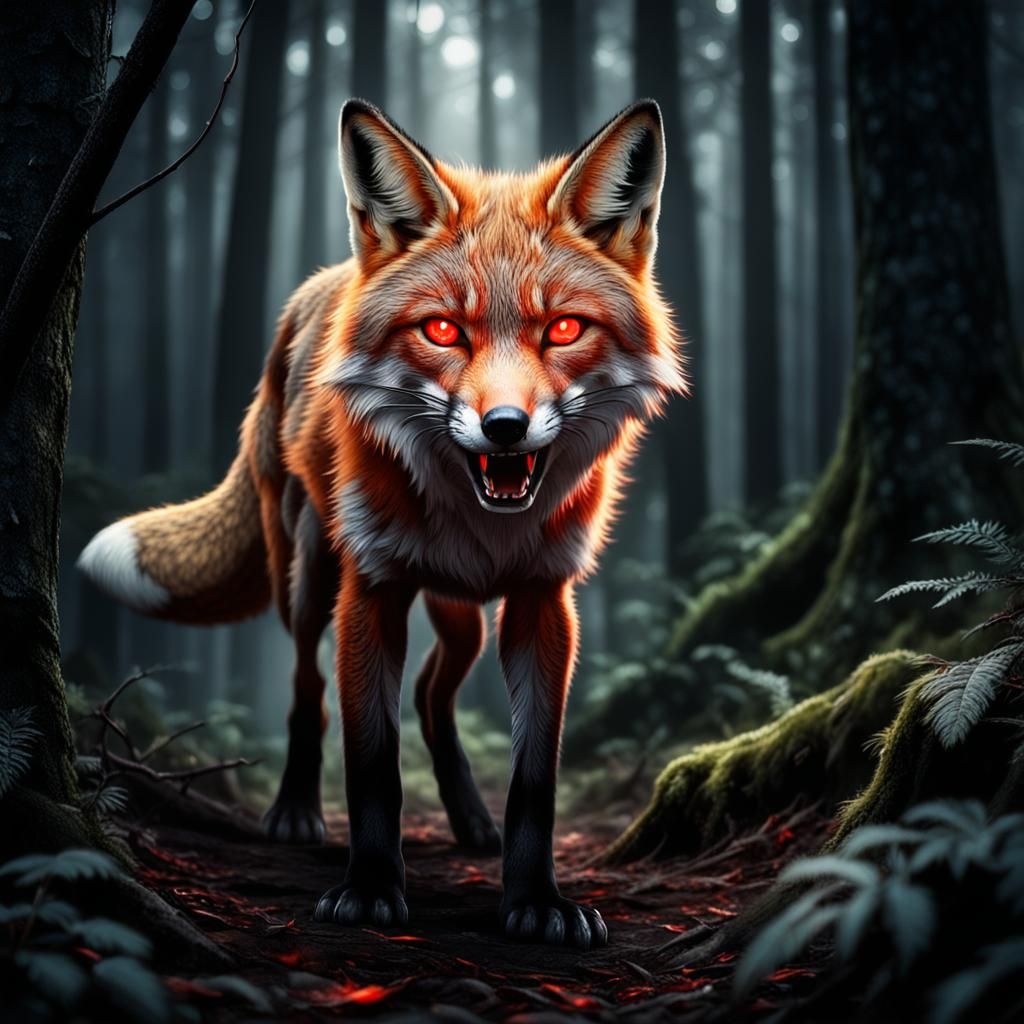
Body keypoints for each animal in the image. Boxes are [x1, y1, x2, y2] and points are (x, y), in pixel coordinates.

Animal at [78, 98, 686, 949]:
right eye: (443, 331)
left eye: (564, 330)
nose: (504, 428)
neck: (481, 519)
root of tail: (320, 285)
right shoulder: (371, 591)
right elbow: (371, 763)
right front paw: (369, 889)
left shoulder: (542, 599)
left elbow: (535, 780)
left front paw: (536, 901)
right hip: (310, 575)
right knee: (308, 689)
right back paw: (296, 811)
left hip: (462, 613)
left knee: (433, 696)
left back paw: (470, 819)